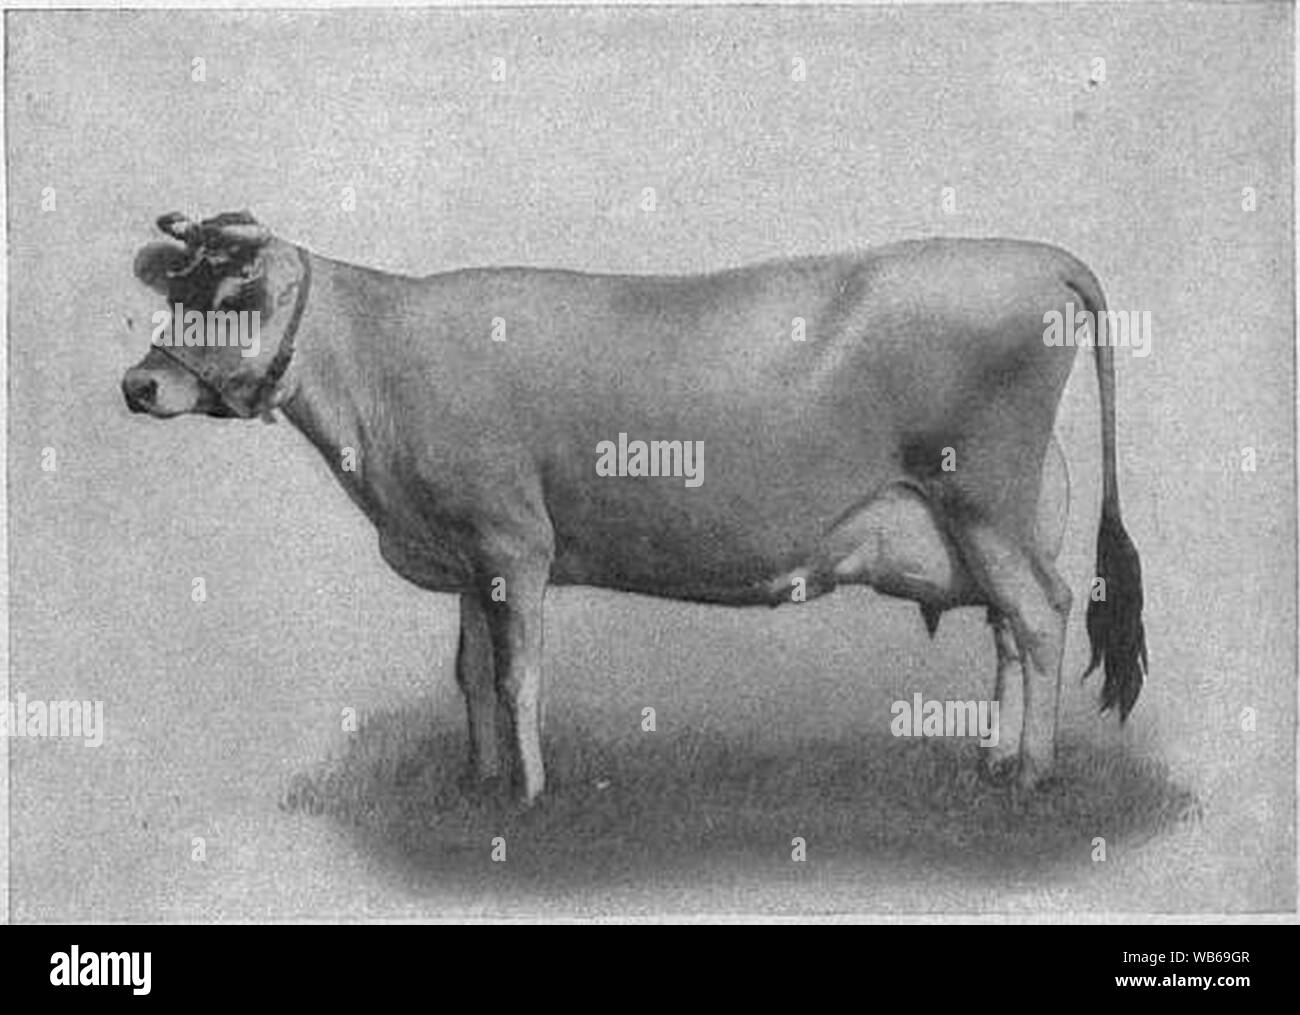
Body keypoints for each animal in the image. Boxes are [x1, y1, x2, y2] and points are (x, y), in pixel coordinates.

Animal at [121, 210, 1147, 804]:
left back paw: (1034, 774)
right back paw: (993, 762)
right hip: (992, 518)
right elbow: (469, 673)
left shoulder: (514, 544)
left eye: (232, 294)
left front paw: (529, 797)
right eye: (173, 293)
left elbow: (517, 677)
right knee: (1010, 629)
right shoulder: (466, 556)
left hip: (987, 496)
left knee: (1043, 615)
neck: (378, 362)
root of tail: (1043, 258)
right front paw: (476, 782)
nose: (139, 384)